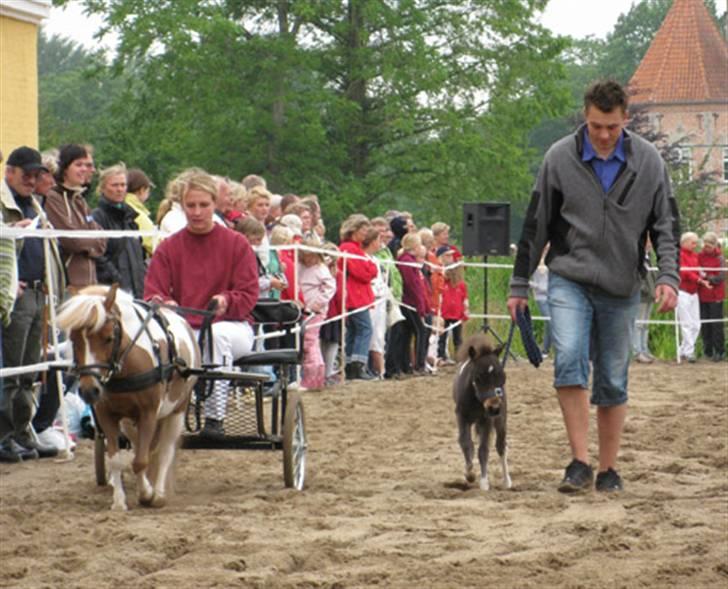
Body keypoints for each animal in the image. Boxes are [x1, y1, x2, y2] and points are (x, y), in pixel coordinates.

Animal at [57, 284, 200, 510]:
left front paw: (148, 494)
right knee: (144, 448)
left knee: (165, 450)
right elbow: (118, 459)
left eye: (108, 338)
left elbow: (141, 460)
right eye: (73, 340)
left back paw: (159, 493)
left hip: (177, 410)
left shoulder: (148, 413)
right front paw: (119, 502)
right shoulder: (107, 414)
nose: (89, 390)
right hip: (130, 422)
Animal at [450, 334, 512, 490]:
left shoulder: (486, 420)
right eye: (478, 377)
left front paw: (484, 482)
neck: (475, 399)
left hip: (500, 421)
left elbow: (483, 449)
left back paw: (507, 481)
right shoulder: (462, 417)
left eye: (502, 376)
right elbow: (466, 442)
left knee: (501, 446)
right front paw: (469, 473)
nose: (494, 408)